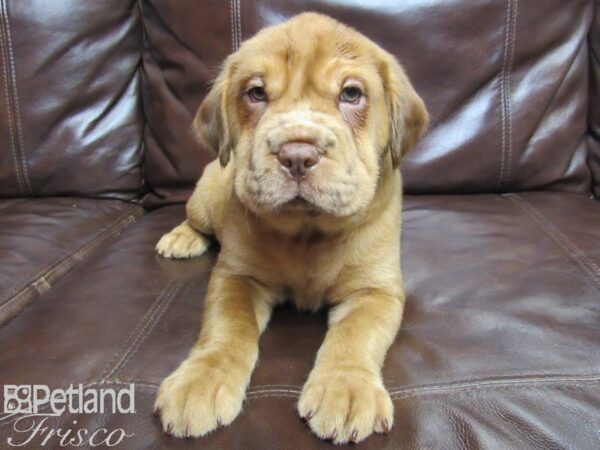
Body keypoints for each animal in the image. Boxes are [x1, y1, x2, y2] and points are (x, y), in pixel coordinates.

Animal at [154, 12, 426, 444]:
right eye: (256, 93)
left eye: (351, 94)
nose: (297, 154)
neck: (307, 233)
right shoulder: (236, 276)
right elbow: (227, 325)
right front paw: (201, 381)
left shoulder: (376, 290)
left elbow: (356, 334)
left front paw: (346, 389)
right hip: (203, 198)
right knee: (196, 220)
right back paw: (181, 237)